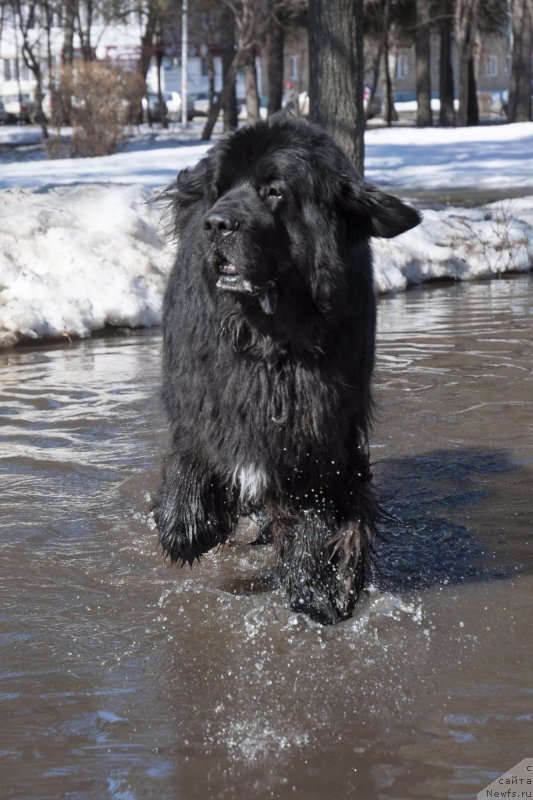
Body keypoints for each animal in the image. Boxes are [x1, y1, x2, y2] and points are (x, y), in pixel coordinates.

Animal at [154, 114, 420, 624]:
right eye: (221, 188)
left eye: (274, 191)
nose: (216, 222)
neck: (271, 339)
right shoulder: (201, 391)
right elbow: (194, 448)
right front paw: (187, 523)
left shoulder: (321, 430)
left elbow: (321, 510)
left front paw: (317, 588)